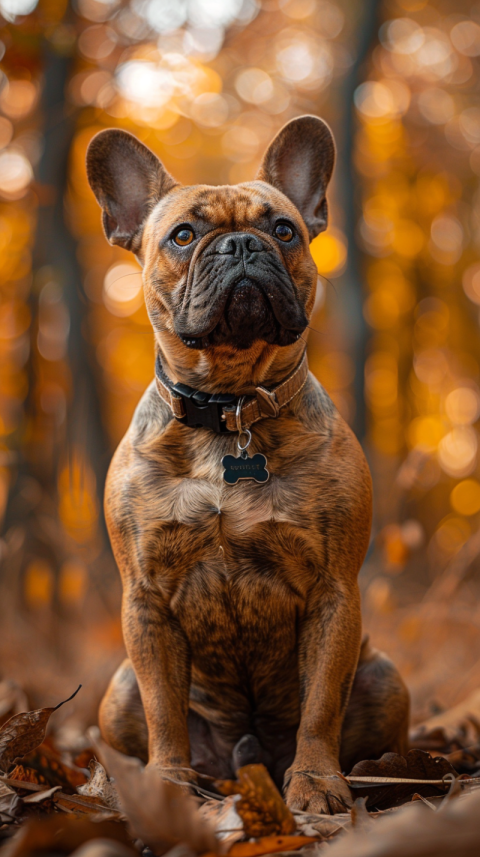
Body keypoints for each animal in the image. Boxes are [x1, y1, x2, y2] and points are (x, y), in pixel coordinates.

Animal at [86, 117, 408, 812]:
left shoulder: (333, 594)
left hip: (384, 676)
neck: (230, 410)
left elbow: (321, 704)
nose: (240, 245)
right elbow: (163, 708)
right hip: (116, 692)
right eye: (183, 235)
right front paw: (168, 783)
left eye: (283, 230)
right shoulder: (146, 602)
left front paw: (315, 783)